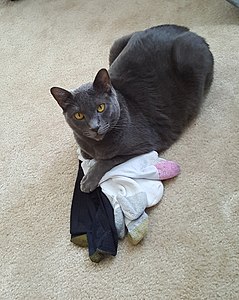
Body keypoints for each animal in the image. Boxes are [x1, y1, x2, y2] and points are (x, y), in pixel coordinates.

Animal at [50, 24, 213, 192]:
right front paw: (86, 154)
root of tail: (183, 29)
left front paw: (88, 180)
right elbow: (85, 153)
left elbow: (108, 160)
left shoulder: (144, 145)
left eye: (101, 107)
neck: (97, 146)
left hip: (187, 56)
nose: (95, 127)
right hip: (117, 44)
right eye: (79, 115)